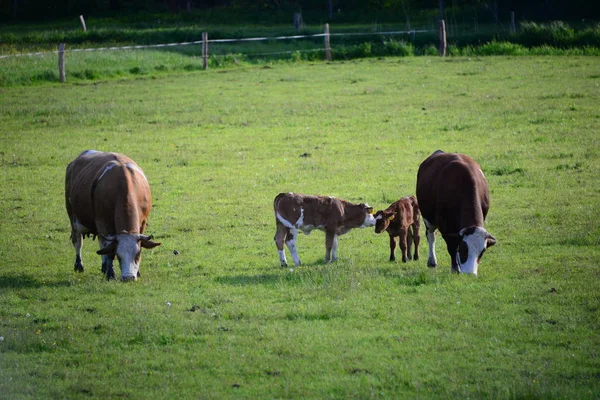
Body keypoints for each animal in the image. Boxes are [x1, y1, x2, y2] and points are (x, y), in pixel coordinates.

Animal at [65, 150, 162, 282]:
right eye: (119, 256)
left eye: (137, 255)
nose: (128, 277)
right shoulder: (103, 222)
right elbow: (109, 251)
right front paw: (111, 274)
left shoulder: (142, 223)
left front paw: (137, 272)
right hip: (73, 216)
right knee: (78, 241)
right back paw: (79, 265)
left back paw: (103, 266)